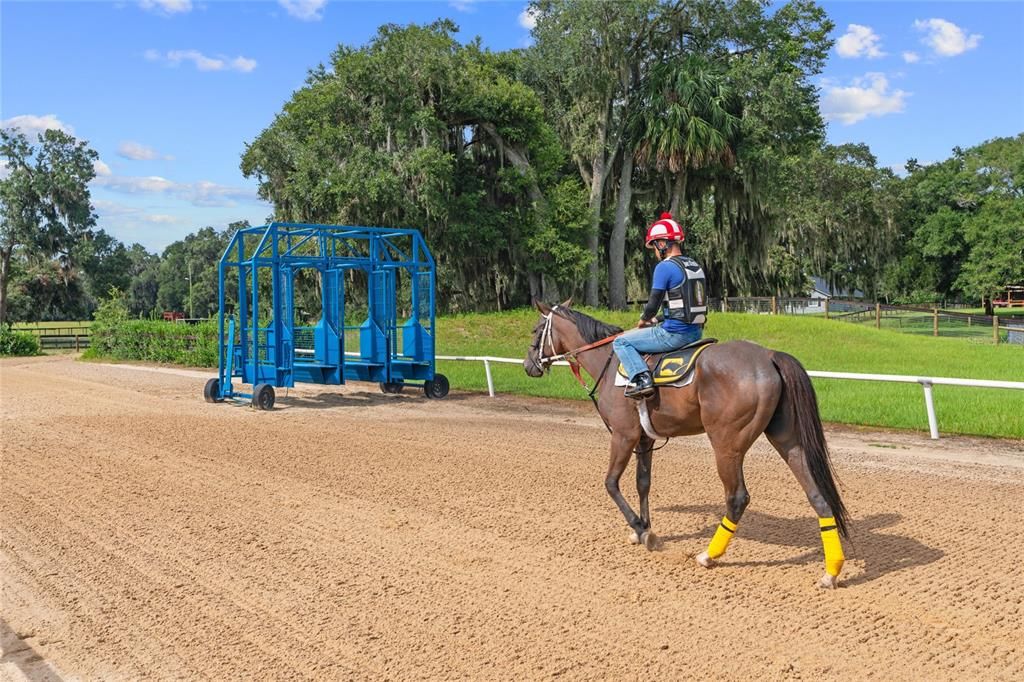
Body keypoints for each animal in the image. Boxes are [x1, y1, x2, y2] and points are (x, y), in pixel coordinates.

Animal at [524, 301, 851, 585]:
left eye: (537, 329)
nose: (529, 365)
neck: (610, 360)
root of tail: (768, 356)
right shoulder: (644, 438)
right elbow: (643, 483)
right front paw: (643, 528)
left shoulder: (623, 434)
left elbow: (611, 483)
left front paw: (642, 531)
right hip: (788, 441)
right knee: (817, 495)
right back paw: (831, 571)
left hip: (726, 445)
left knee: (737, 498)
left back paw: (709, 555)